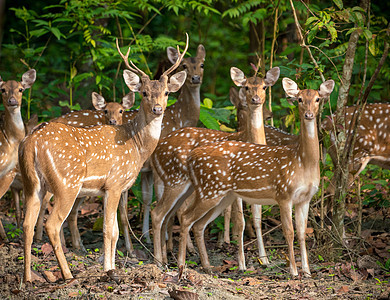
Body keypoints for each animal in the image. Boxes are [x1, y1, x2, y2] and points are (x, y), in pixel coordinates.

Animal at [18, 35, 189, 282]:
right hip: (66, 183)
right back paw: (67, 274)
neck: (136, 145)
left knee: (27, 224)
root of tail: (31, 143)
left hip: (32, 183)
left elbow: (115, 230)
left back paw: (28, 278)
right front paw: (109, 270)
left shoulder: (111, 188)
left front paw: (112, 267)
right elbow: (109, 230)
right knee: (52, 224)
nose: (157, 109)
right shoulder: (115, 183)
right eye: (144, 93)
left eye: (166, 92)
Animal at [140, 42, 207, 244]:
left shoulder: (148, 170)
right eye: (184, 65)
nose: (195, 78)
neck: (180, 117)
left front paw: (152, 237)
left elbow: (148, 199)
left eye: (202, 64)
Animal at [177, 78, 336, 276]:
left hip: (222, 195)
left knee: (198, 224)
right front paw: (293, 271)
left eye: (317, 99)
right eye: (299, 99)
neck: (302, 162)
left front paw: (306, 272)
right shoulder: (283, 194)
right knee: (186, 218)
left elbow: (302, 233)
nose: (308, 115)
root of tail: (191, 157)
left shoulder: (305, 198)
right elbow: (289, 232)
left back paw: (207, 266)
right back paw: (181, 265)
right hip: (210, 190)